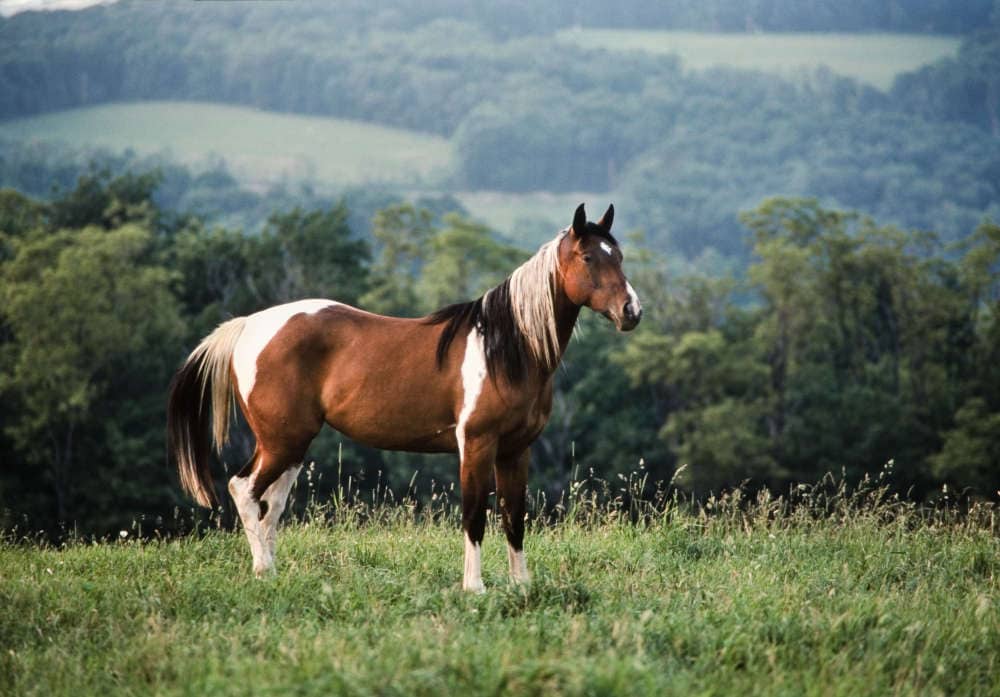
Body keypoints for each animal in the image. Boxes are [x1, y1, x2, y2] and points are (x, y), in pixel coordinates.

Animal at [167, 203, 641, 591]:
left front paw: (521, 587)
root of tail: (248, 325)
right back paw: (263, 571)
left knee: (272, 503)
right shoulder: (476, 444)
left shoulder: (515, 450)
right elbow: (474, 515)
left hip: (290, 444)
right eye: (588, 257)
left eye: (617, 256)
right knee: (244, 490)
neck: (507, 348)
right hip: (281, 441)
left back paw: (273, 572)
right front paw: (475, 589)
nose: (631, 311)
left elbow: (514, 516)